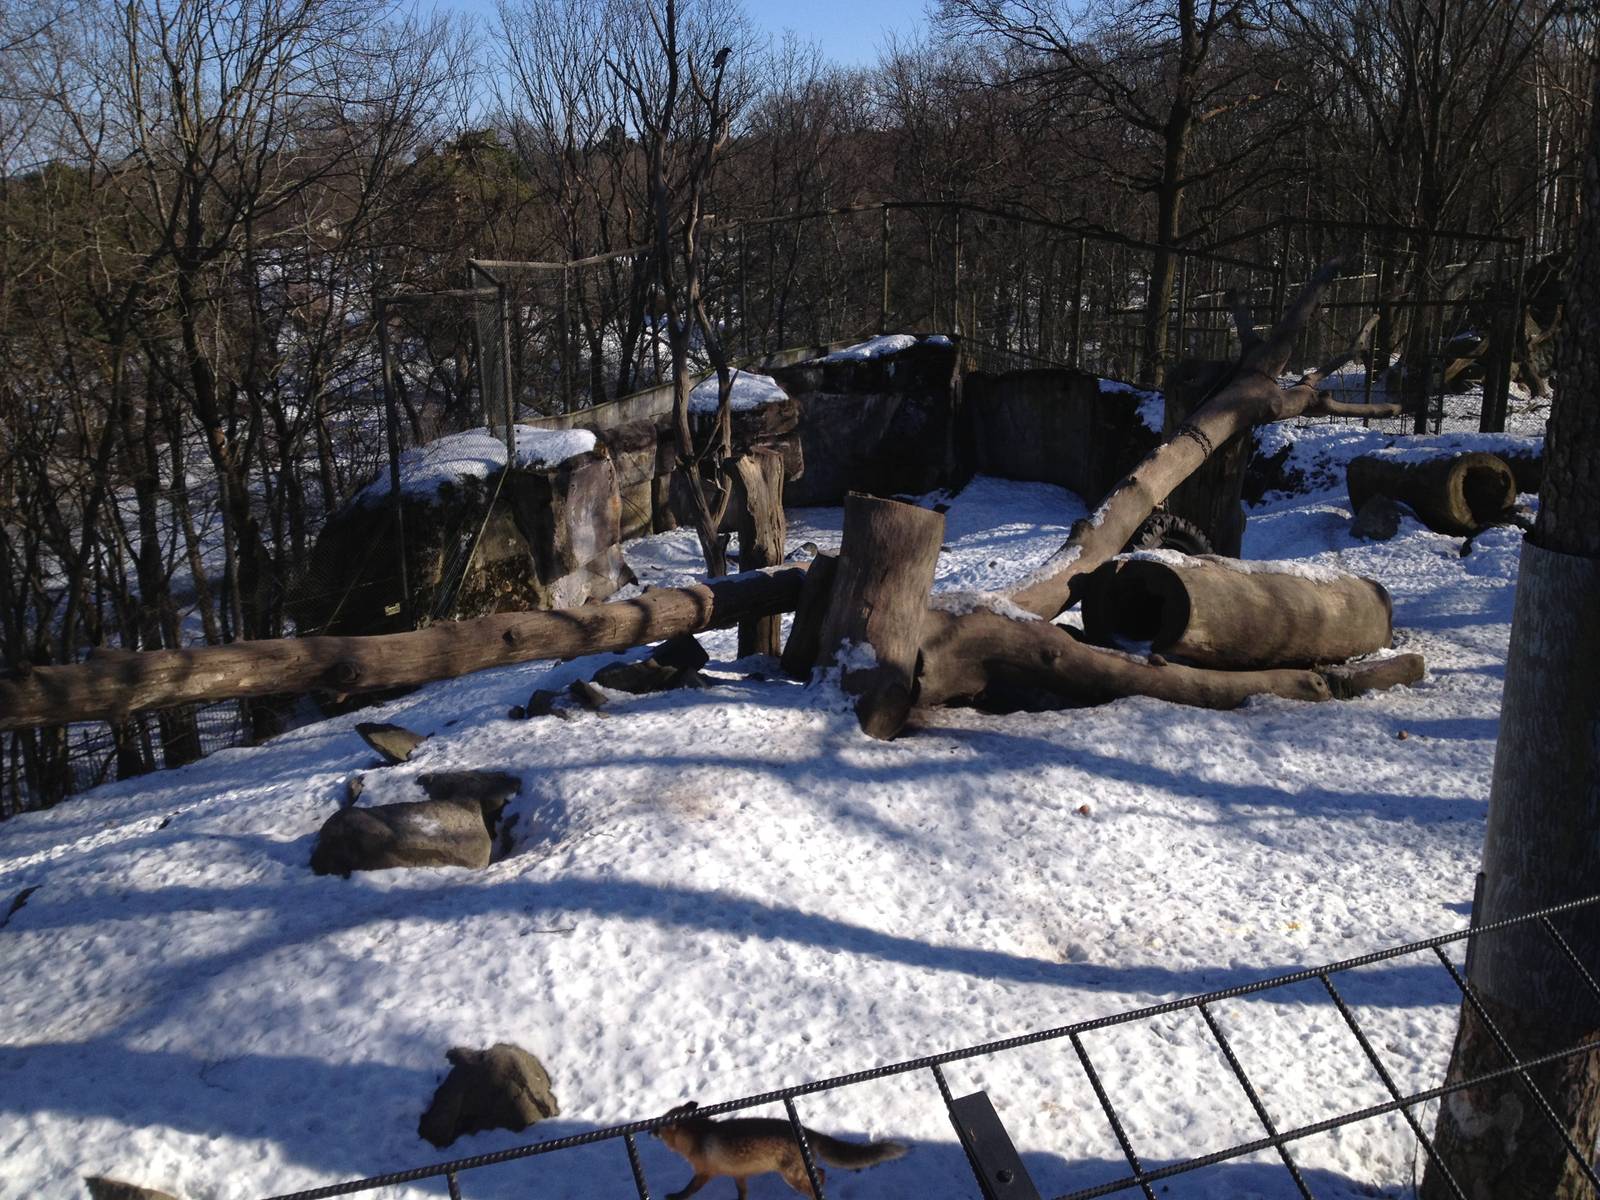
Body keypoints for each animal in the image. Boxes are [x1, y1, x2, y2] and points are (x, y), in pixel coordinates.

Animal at [650, 1100, 908, 1198]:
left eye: (658, 1126)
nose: (648, 1131)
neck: (699, 1137)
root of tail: (808, 1131)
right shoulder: (739, 1173)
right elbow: (742, 1194)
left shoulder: (705, 1172)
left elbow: (688, 1191)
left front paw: (674, 1196)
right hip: (797, 1172)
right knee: (821, 1173)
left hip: (790, 1175)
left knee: (817, 1176)